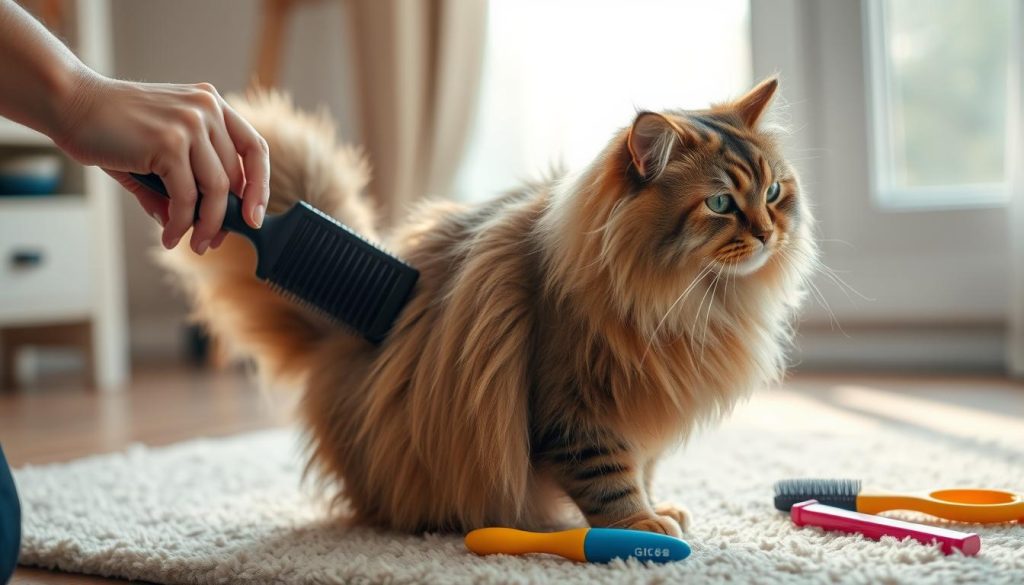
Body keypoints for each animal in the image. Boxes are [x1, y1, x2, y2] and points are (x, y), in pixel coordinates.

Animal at [159, 75, 815, 536]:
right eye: (721, 204)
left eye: (774, 193)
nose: (768, 233)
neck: (690, 302)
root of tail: (338, 339)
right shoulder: (575, 410)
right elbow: (609, 480)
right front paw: (639, 527)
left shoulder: (642, 409)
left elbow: (643, 469)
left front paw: (659, 508)